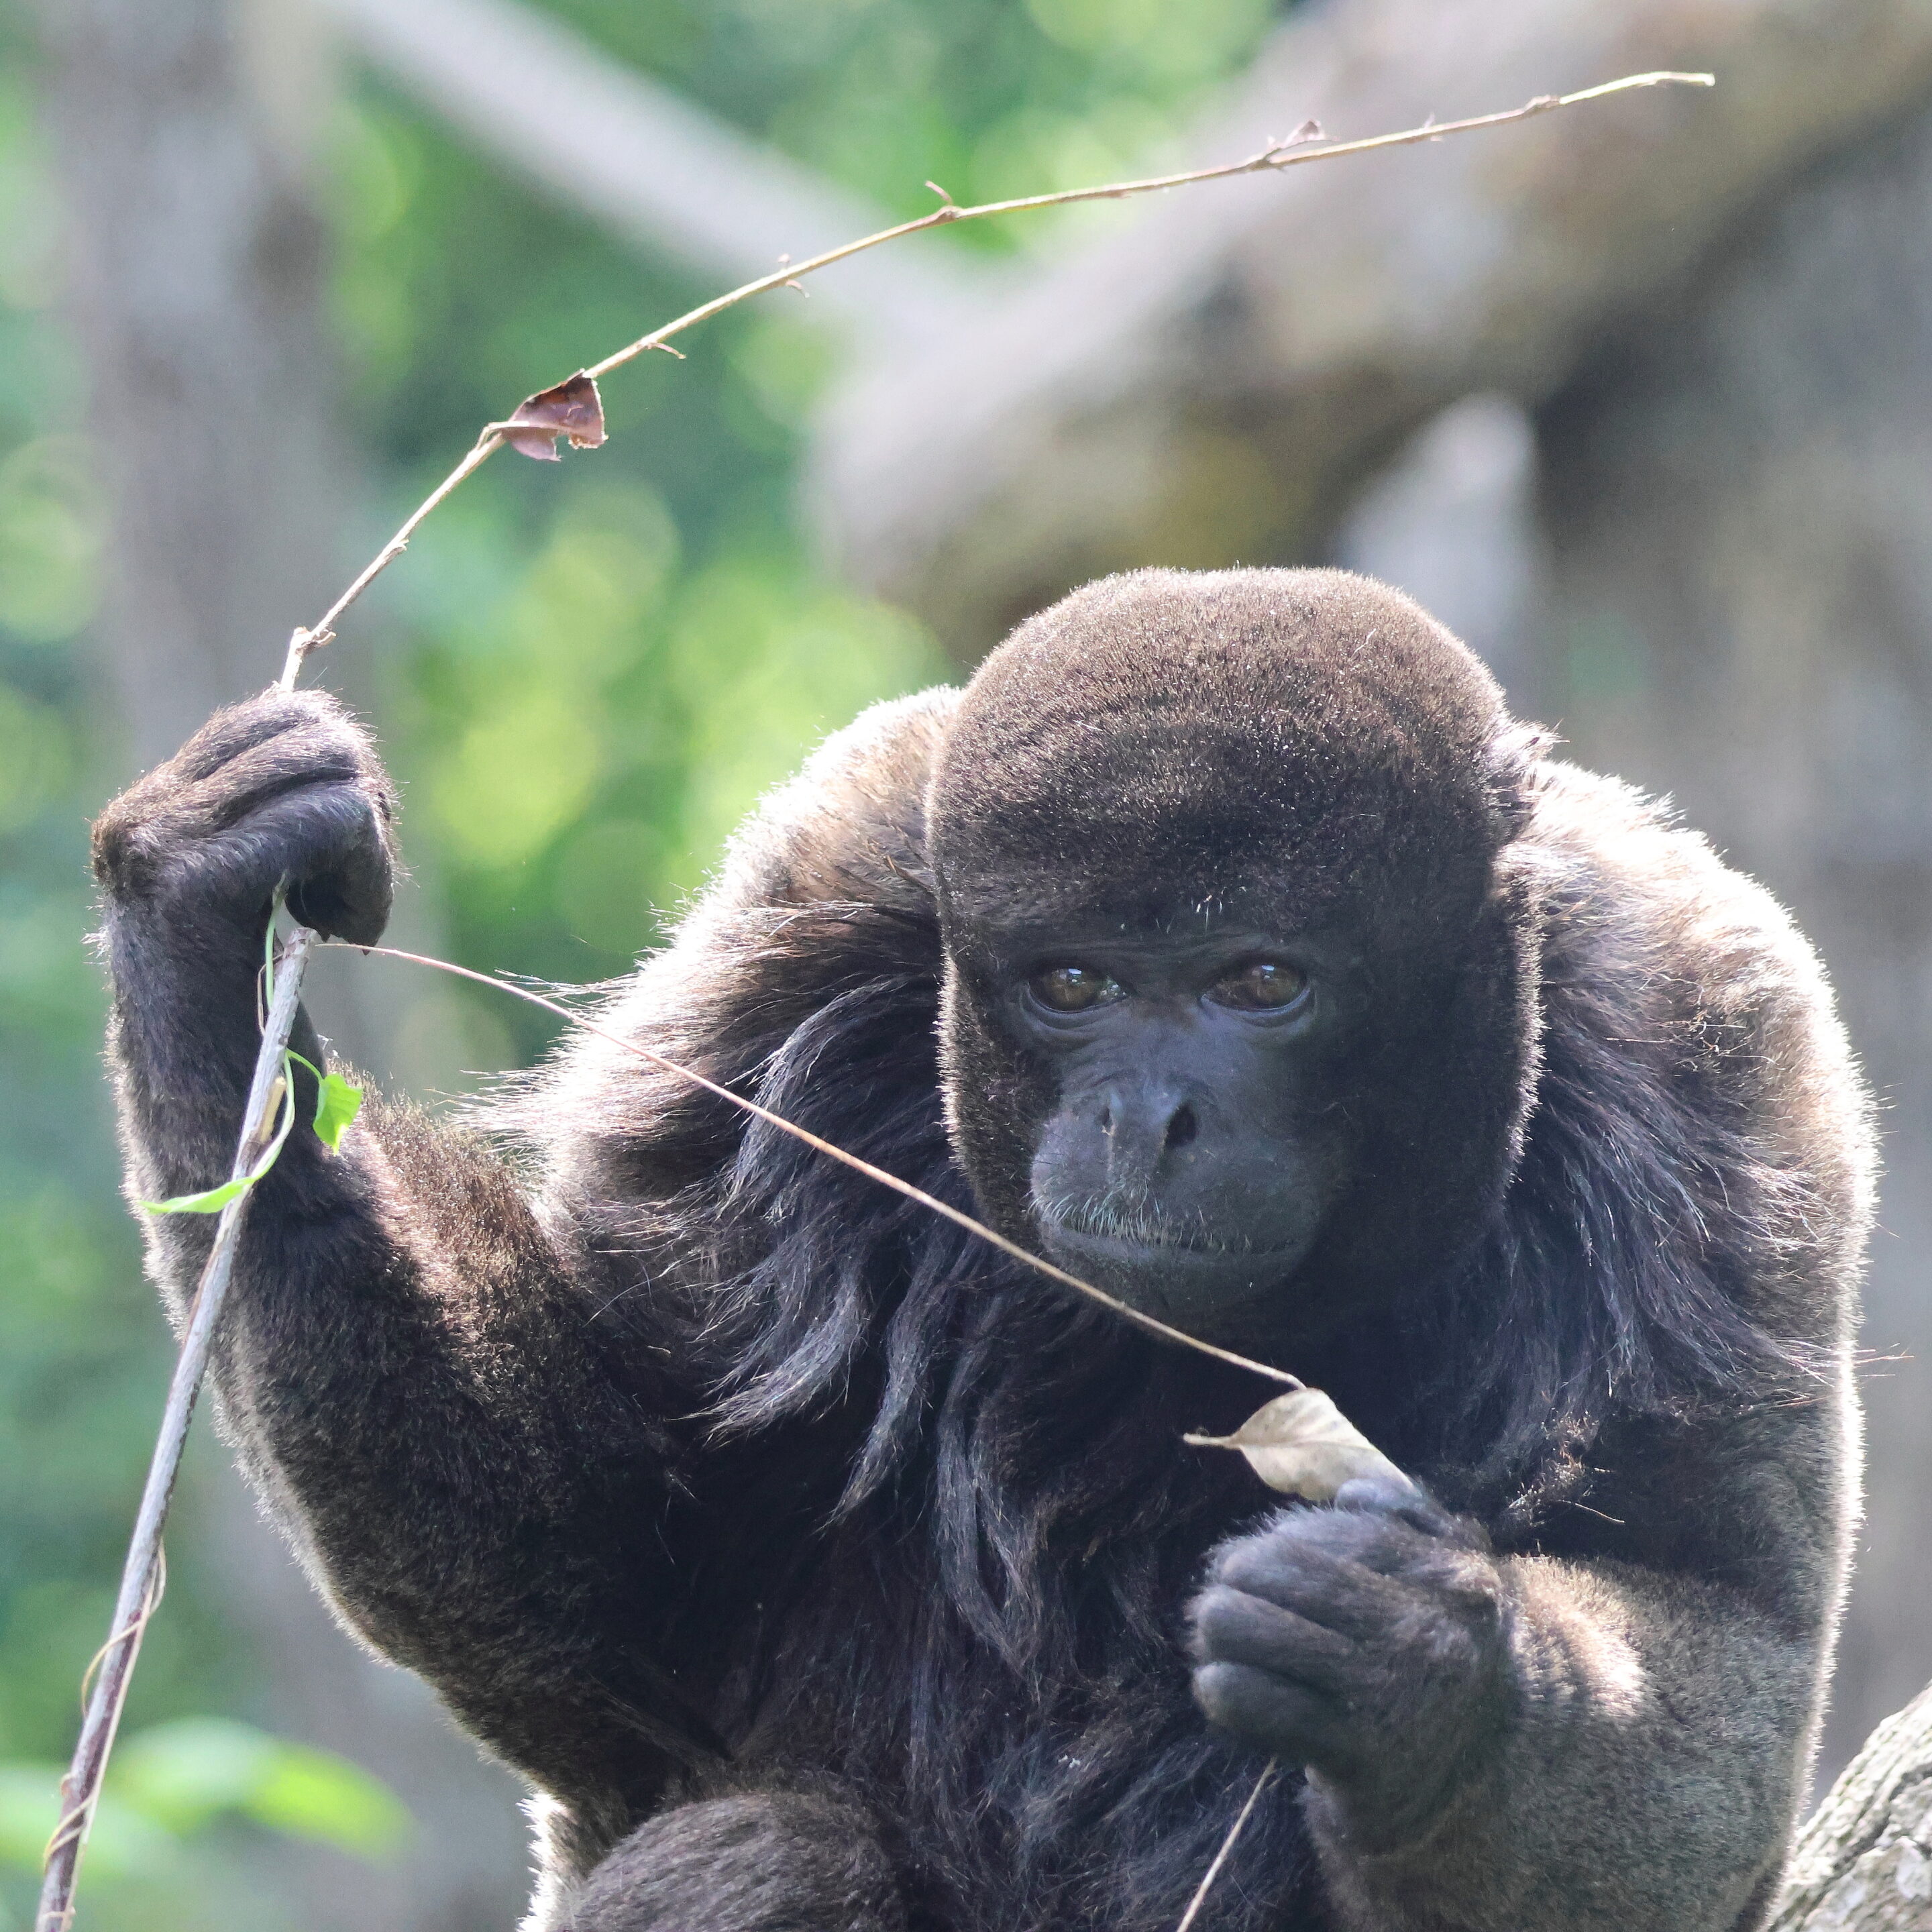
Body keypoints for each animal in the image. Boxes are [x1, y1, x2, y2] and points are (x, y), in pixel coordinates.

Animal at [91, 567, 1871, 1932]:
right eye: (1072, 983)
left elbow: (1733, 1633)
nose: (1150, 1119)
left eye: (1260, 981)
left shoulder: (1718, 1069)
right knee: (766, 1846)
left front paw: (1433, 1675)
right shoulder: (779, 959)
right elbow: (634, 1617)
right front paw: (201, 936)